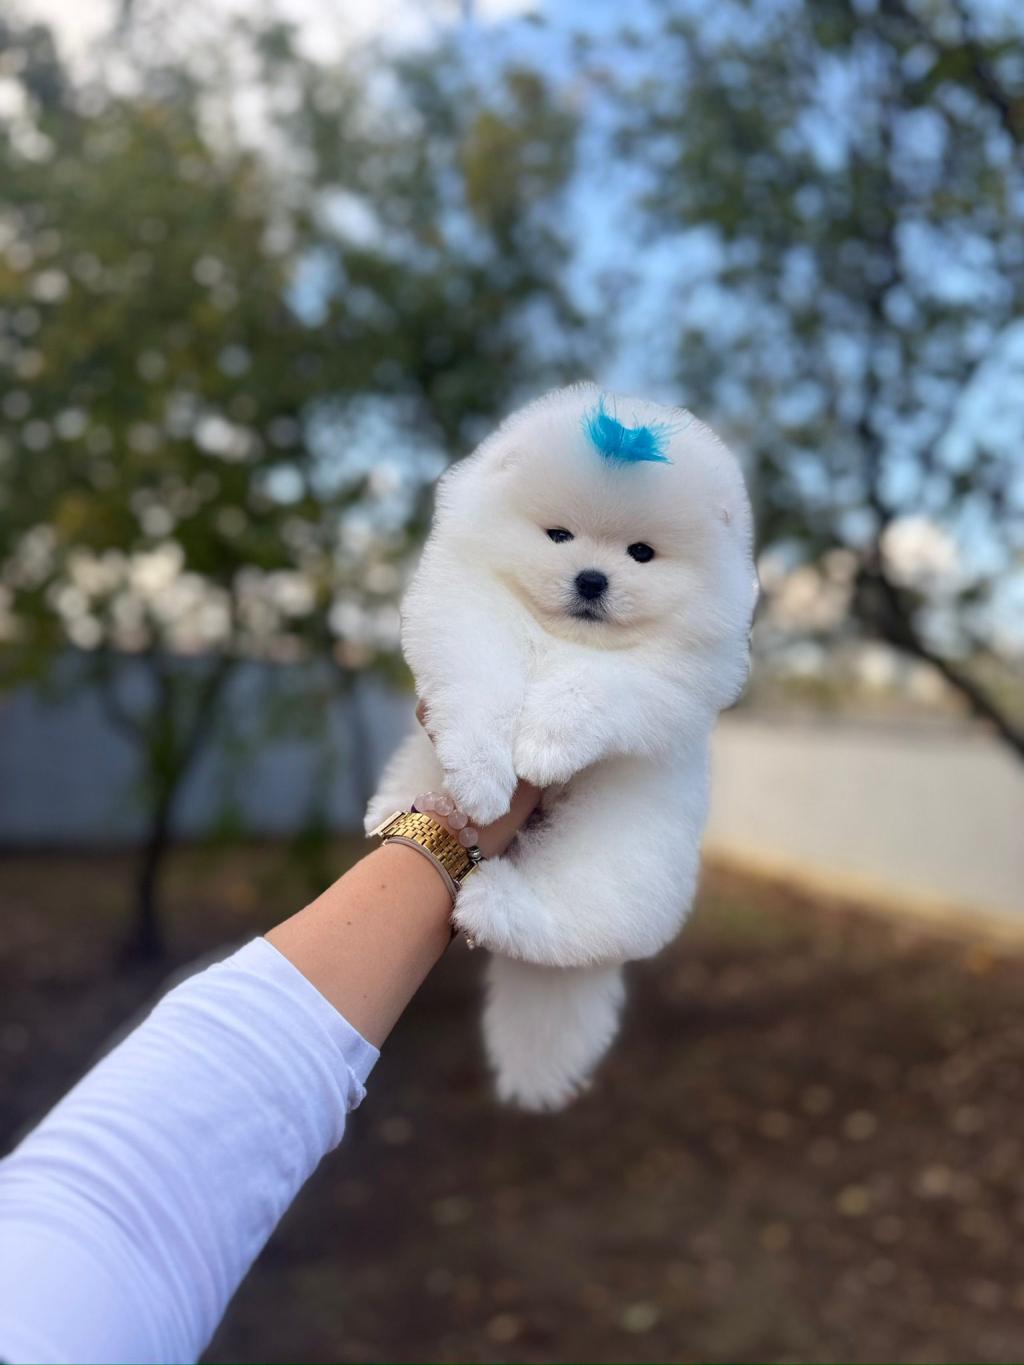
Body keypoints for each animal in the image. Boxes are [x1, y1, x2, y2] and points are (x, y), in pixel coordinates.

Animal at [366, 383, 757, 1109]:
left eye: (640, 553)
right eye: (558, 536)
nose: (592, 578)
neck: (559, 639)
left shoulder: (661, 679)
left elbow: (590, 689)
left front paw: (544, 746)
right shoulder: (470, 620)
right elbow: (481, 691)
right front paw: (483, 778)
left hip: (611, 858)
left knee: (566, 926)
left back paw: (497, 904)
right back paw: (414, 804)